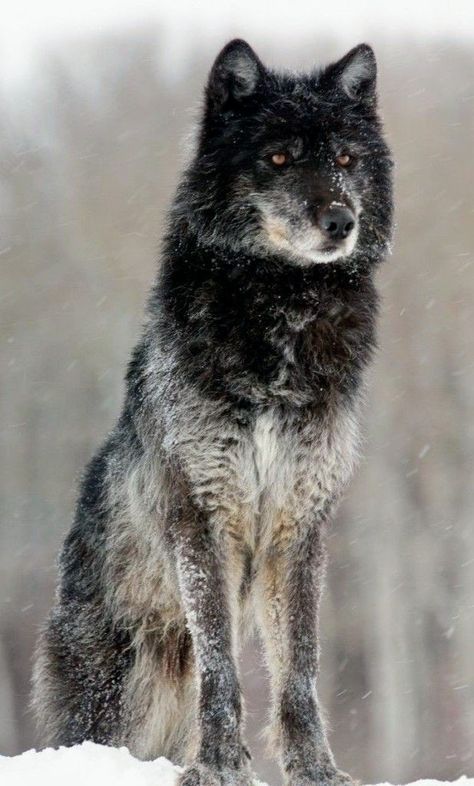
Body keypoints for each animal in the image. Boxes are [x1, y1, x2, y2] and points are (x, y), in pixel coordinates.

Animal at [32, 39, 392, 784]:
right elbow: (221, 664)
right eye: (278, 158)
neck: (282, 315)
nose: (340, 220)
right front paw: (223, 764)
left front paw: (314, 769)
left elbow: (300, 668)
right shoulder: (202, 514)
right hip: (113, 685)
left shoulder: (299, 522)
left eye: (346, 160)